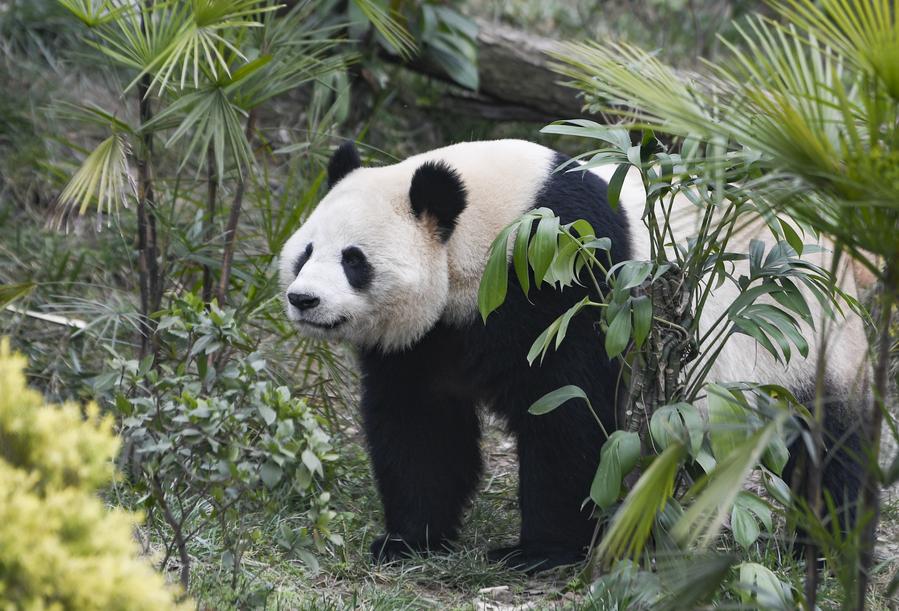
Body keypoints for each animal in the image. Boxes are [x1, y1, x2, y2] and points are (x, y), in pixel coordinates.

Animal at [279, 139, 870, 571]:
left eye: (354, 260)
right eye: (306, 252)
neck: (482, 226)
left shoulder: (560, 272)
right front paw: (407, 540)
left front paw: (539, 552)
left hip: (803, 343)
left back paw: (825, 547)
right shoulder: (431, 338)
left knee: (826, 442)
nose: (303, 299)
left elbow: (568, 411)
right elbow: (421, 425)